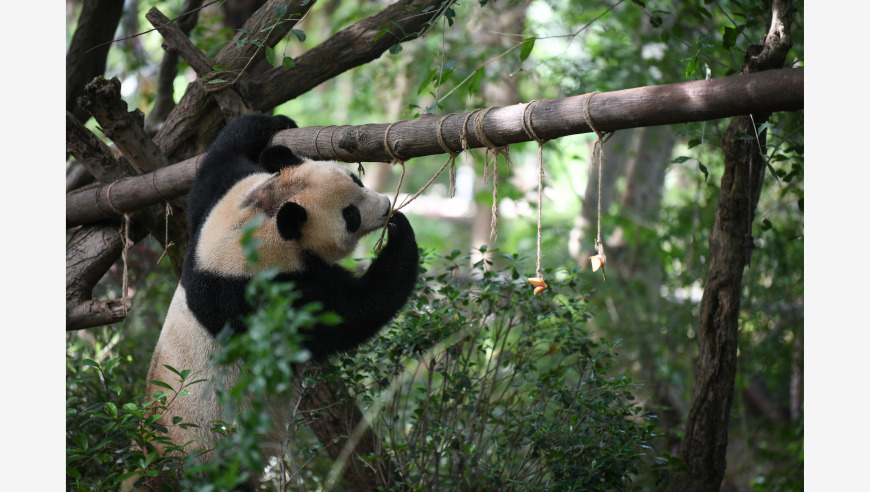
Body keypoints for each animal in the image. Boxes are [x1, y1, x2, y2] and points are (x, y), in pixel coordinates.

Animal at [138, 114, 420, 488]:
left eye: (355, 178)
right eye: (350, 216)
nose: (386, 207)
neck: (261, 223)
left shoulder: (214, 212)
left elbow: (218, 163)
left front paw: (275, 122)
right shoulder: (263, 296)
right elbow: (353, 312)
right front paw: (400, 234)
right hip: (208, 458)